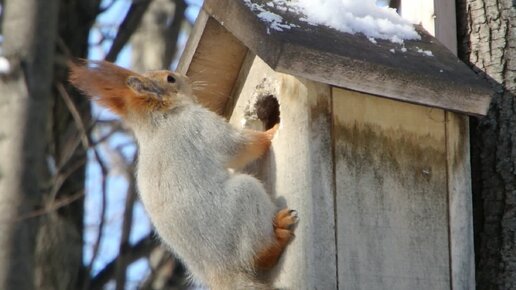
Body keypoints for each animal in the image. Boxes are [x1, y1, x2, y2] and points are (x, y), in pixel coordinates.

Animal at [68, 60, 298, 288]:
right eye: (170, 79)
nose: (187, 78)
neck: (157, 120)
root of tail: (222, 271)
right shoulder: (198, 123)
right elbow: (240, 145)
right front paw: (272, 130)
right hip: (245, 199)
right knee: (260, 254)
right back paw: (279, 234)